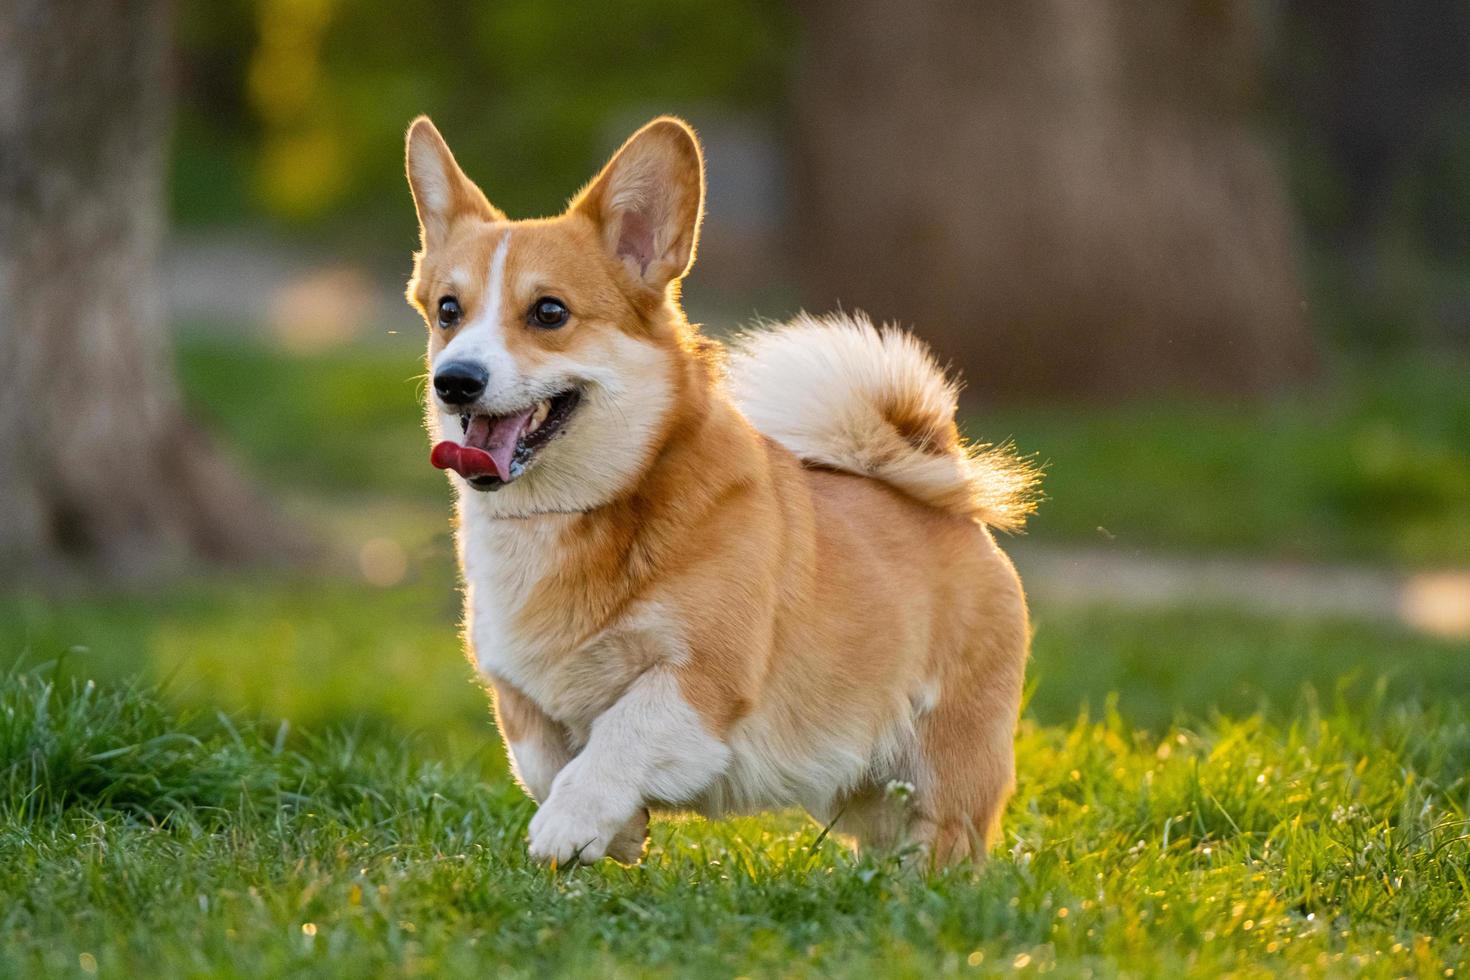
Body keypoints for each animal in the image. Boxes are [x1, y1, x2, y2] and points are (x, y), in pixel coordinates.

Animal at [402, 115, 1040, 863]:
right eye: (448, 310)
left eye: (549, 313)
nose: (454, 380)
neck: (565, 516)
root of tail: (948, 499)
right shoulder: (517, 692)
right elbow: (541, 760)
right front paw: (618, 831)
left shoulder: (698, 679)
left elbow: (615, 740)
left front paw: (569, 825)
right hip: (864, 788)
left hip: (942, 767)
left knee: (945, 843)